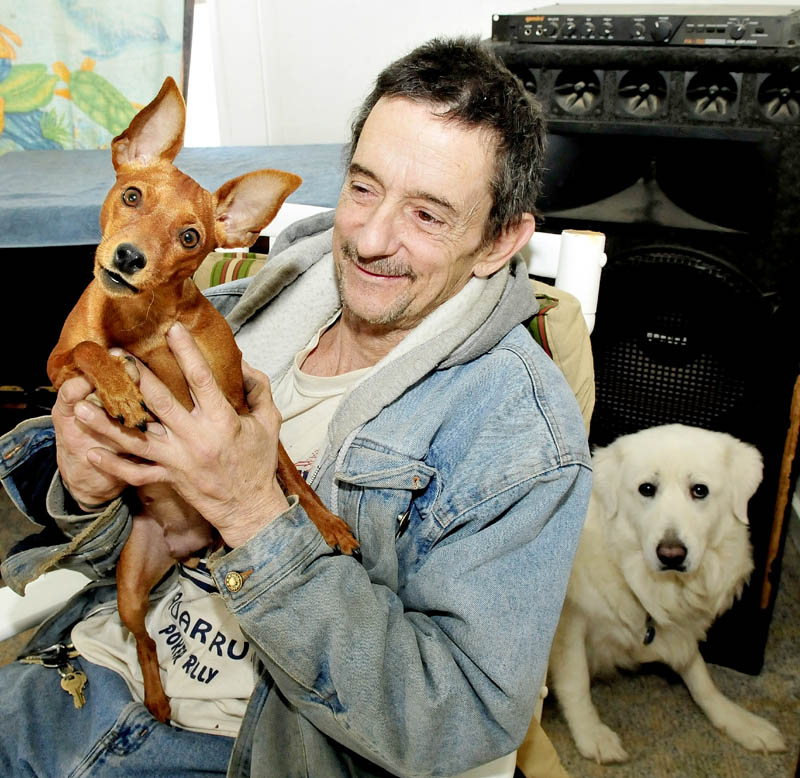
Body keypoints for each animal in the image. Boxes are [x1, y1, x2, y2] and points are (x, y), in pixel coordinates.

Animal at [47, 77, 360, 720]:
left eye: (190, 237)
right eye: (132, 196)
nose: (128, 258)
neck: (146, 324)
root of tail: (180, 547)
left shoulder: (241, 406)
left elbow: (291, 477)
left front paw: (327, 525)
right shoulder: (57, 367)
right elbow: (90, 351)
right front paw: (121, 386)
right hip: (129, 587)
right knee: (143, 641)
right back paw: (157, 697)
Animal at [548, 422, 784, 760]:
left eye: (699, 490)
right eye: (647, 489)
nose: (671, 554)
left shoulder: (679, 630)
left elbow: (701, 677)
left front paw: (737, 720)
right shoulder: (570, 622)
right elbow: (575, 680)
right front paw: (592, 734)